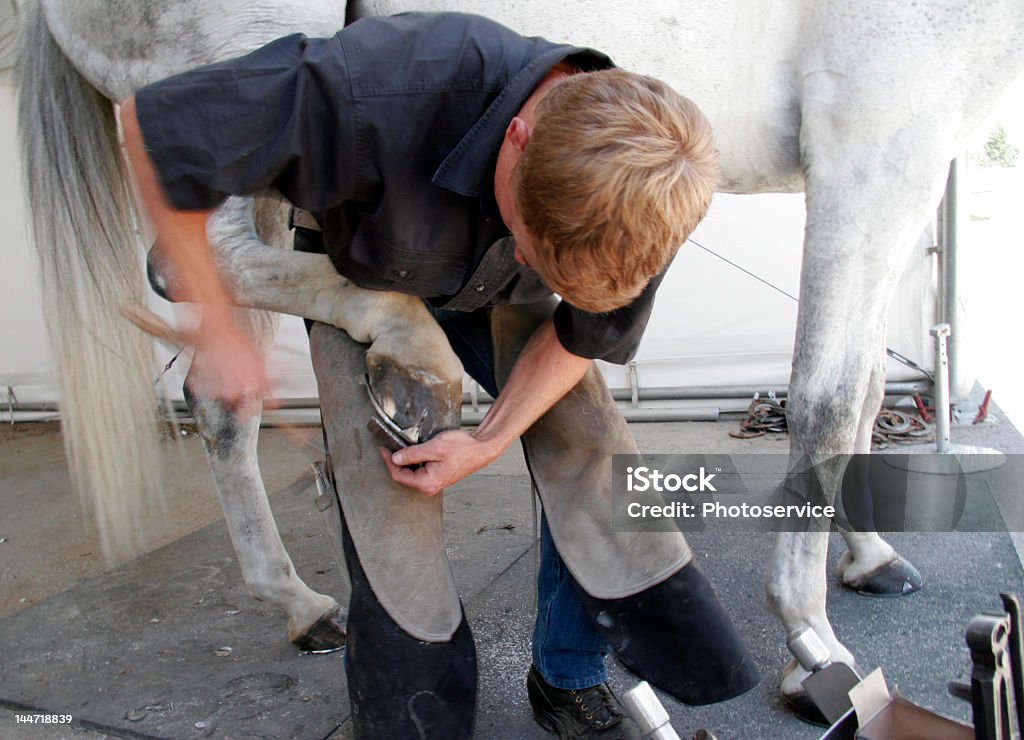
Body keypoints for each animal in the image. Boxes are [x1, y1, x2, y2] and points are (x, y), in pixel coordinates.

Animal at [18, 0, 1024, 716]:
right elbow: (827, 397)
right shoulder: (877, 143)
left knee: (219, 393)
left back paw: (301, 603)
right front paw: (811, 643)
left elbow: (864, 392)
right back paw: (404, 344)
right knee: (197, 271)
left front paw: (868, 555)